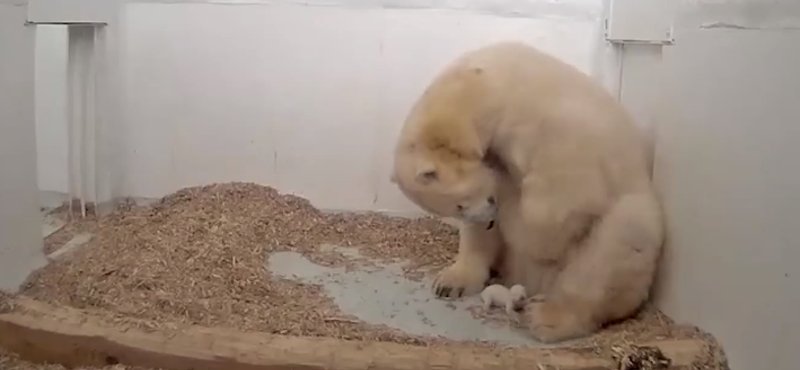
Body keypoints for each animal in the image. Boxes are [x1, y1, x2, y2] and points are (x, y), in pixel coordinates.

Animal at [390, 42, 664, 342]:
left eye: (459, 205)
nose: (489, 215)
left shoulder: (554, 129)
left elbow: (563, 204)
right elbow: (479, 233)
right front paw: (451, 281)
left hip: (631, 227)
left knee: (612, 247)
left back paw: (547, 317)